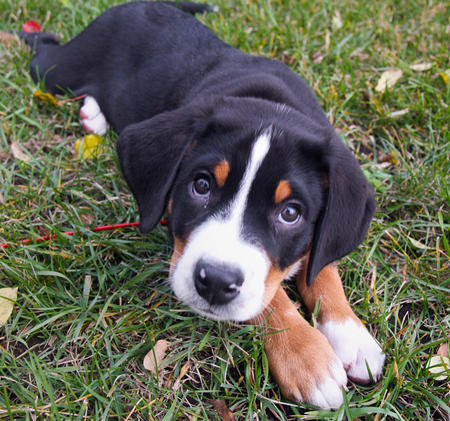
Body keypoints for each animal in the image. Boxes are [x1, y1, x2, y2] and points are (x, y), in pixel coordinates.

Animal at [20, 0, 384, 406]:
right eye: (202, 186)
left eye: (290, 213)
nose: (215, 283)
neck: (271, 106)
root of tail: (138, 4)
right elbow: (271, 297)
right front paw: (308, 358)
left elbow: (321, 265)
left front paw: (350, 334)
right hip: (57, 70)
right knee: (42, 47)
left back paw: (93, 115)